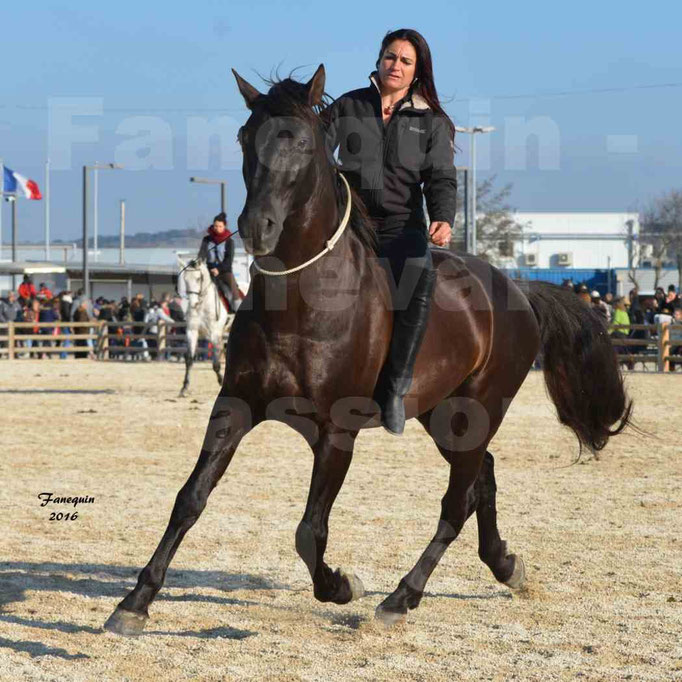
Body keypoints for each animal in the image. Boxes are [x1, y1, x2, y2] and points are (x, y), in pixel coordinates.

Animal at [177, 258, 232, 398]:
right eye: (185, 279)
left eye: (198, 279)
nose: (193, 303)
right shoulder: (192, 332)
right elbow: (189, 359)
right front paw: (184, 388)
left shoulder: (215, 335)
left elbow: (216, 363)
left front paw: (221, 381)